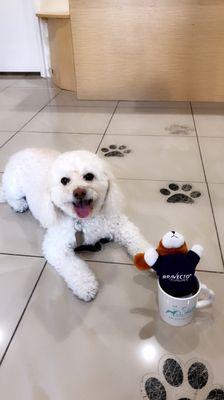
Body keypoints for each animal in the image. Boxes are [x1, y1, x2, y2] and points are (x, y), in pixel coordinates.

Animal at [0, 148, 149, 302]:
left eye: (89, 176)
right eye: (64, 180)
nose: (79, 192)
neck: (85, 220)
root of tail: (20, 151)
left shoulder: (118, 223)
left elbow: (136, 239)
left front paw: (150, 256)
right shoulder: (56, 247)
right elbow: (74, 267)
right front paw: (86, 286)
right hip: (14, 187)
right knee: (8, 195)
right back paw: (19, 204)